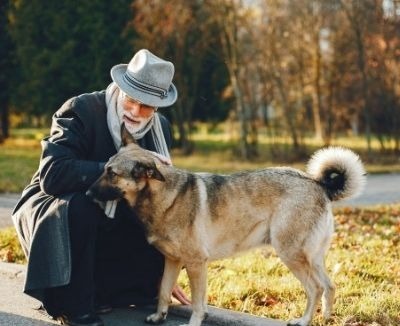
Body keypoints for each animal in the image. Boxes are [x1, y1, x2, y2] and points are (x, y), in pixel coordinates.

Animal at [86, 126, 366, 326]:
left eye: (112, 173)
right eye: (105, 169)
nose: (87, 193)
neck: (163, 196)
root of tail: (318, 184)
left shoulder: (196, 264)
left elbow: (197, 303)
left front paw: (194, 322)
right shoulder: (172, 262)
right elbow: (165, 290)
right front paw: (159, 316)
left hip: (290, 254)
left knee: (315, 288)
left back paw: (304, 320)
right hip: (312, 257)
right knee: (329, 286)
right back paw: (326, 317)